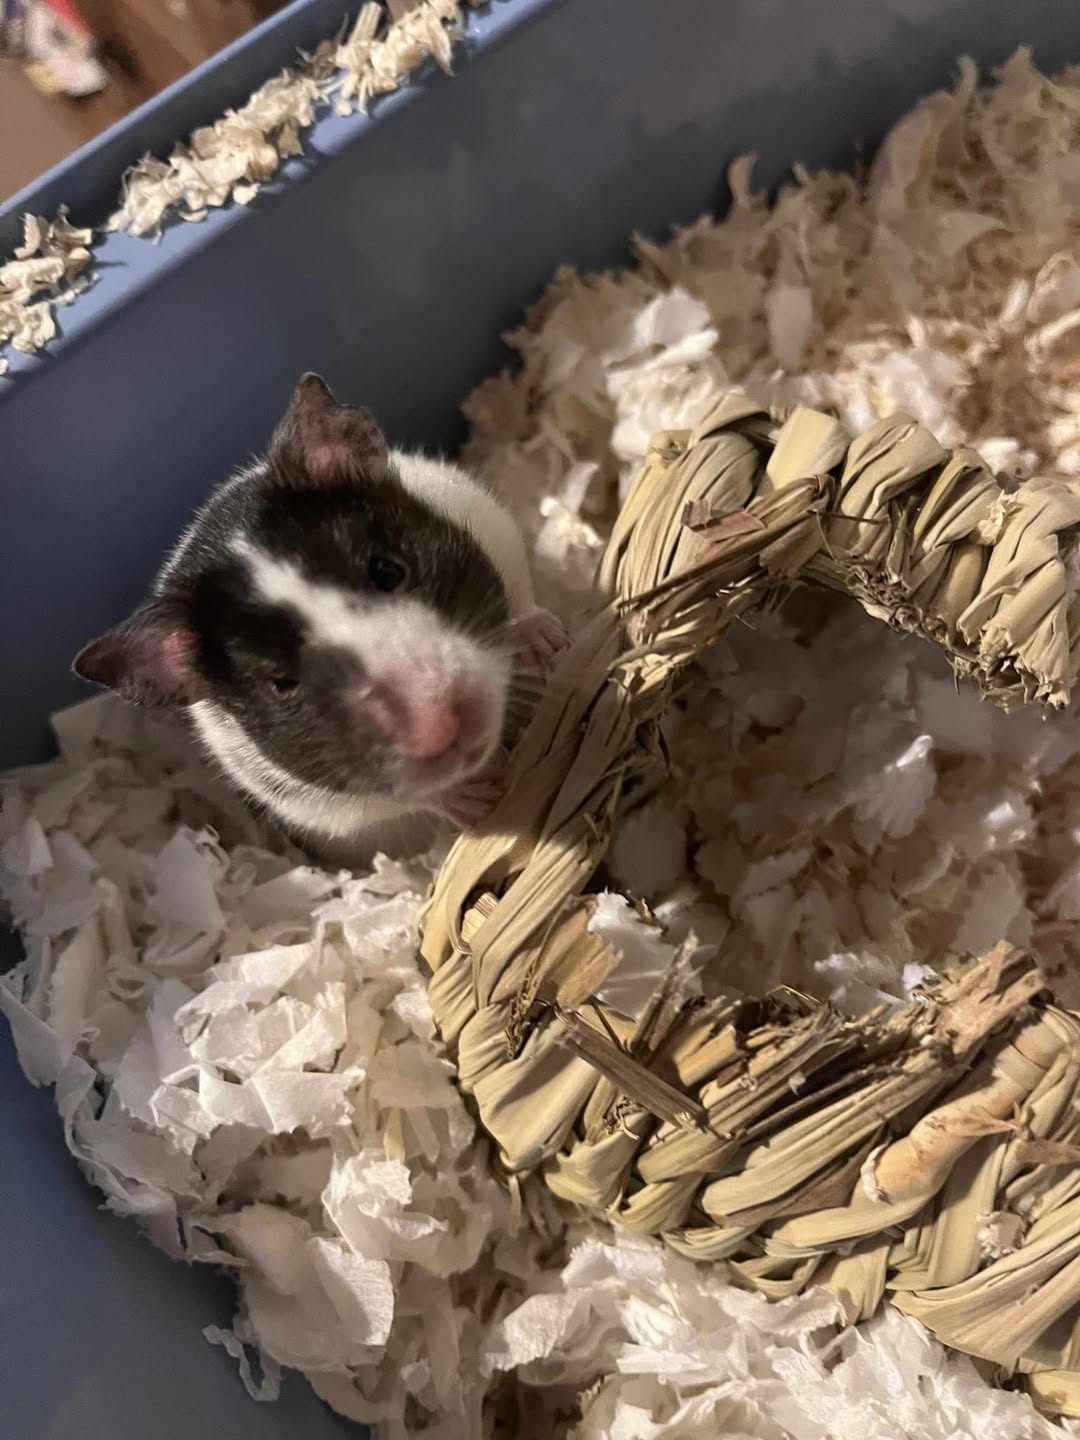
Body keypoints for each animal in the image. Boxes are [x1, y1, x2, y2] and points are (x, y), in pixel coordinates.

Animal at [72, 373, 566, 866]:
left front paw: (549, 642)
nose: (441, 727)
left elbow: (519, 590)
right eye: (282, 684)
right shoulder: (312, 800)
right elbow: (404, 797)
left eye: (388, 570)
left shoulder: (482, 515)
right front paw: (481, 800)